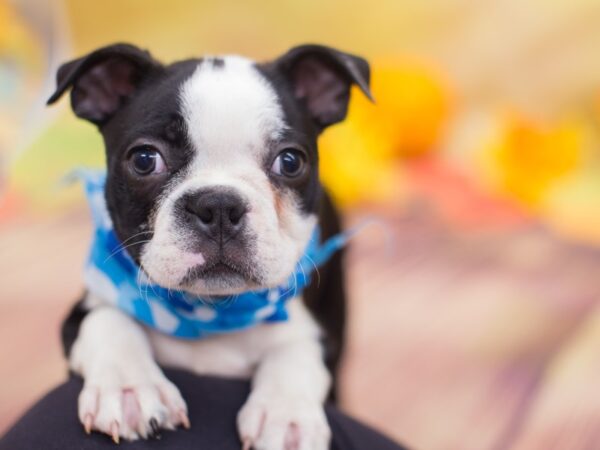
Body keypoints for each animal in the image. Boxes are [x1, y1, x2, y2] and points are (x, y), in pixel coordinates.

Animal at [48, 43, 370, 450]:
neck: (211, 311)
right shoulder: (81, 313)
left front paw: (285, 415)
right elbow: (107, 320)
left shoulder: (317, 333)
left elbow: (296, 351)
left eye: (291, 161)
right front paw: (129, 388)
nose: (217, 206)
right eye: (144, 159)